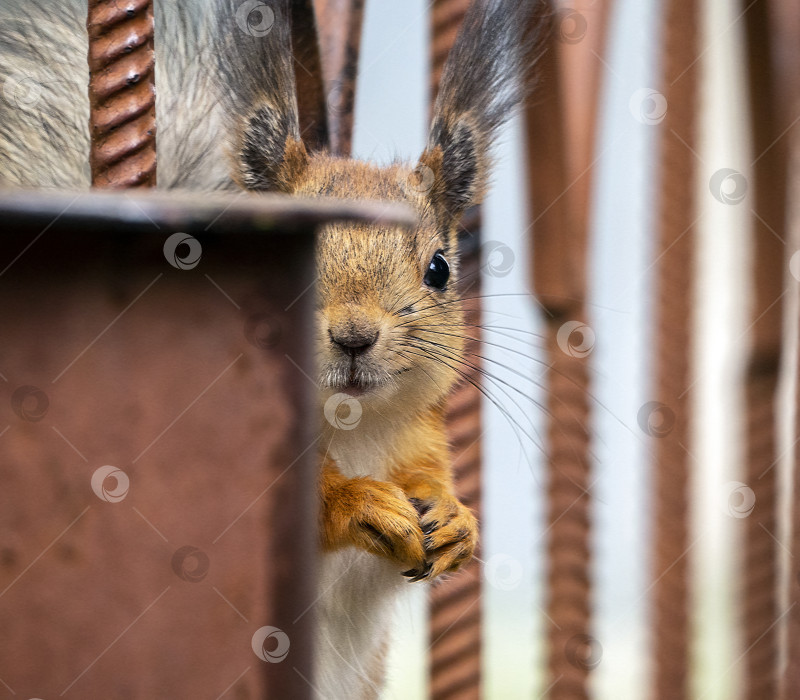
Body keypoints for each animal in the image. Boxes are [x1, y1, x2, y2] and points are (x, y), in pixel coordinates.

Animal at [0, 0, 544, 692]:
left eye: (440, 269)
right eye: (296, 251)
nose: (354, 335)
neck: (355, 426)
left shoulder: (421, 441)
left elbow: (432, 482)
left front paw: (456, 521)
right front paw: (360, 502)